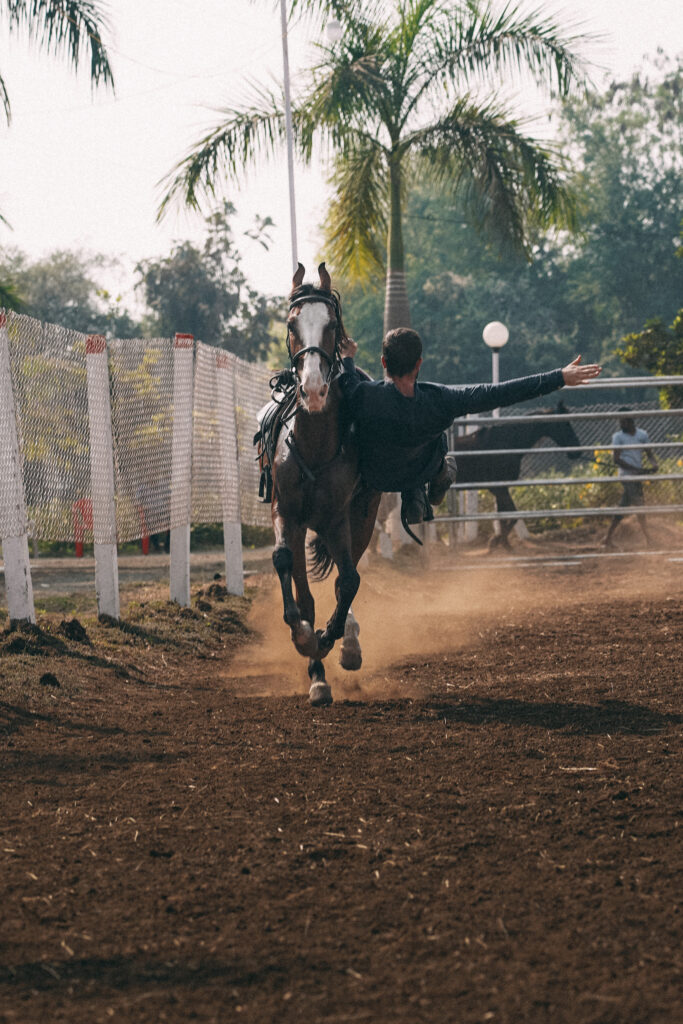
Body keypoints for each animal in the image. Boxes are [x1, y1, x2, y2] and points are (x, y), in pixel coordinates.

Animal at [264, 262, 382, 704]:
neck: (313, 444)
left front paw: (334, 640)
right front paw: (306, 645)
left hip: (361, 518)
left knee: (346, 579)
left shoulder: (338, 519)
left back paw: (348, 641)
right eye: (291, 324)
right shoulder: (287, 513)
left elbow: (348, 581)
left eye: (331, 325)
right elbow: (290, 573)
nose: (313, 388)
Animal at [454, 401, 581, 552]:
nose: (577, 451)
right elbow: (513, 515)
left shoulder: (502, 488)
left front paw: (502, 543)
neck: (506, 444)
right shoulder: (498, 489)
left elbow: (504, 516)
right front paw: (496, 542)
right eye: (565, 423)